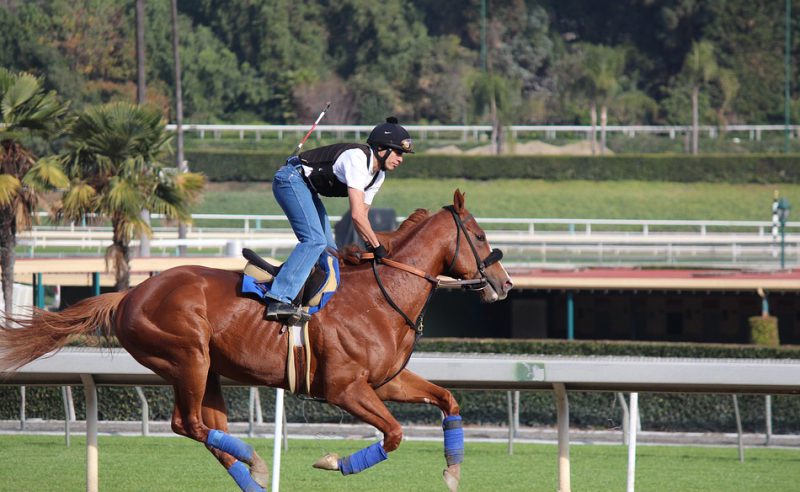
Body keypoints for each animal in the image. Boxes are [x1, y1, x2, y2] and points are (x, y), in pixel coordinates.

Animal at [0, 189, 512, 492]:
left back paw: (255, 476)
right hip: (188, 357)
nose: (504, 283)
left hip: (208, 372)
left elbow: (446, 399)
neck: (381, 294)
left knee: (205, 429)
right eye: (480, 235)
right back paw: (256, 462)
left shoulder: (386, 381)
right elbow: (394, 433)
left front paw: (452, 469)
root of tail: (130, 293)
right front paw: (334, 462)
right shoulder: (344, 389)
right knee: (188, 424)